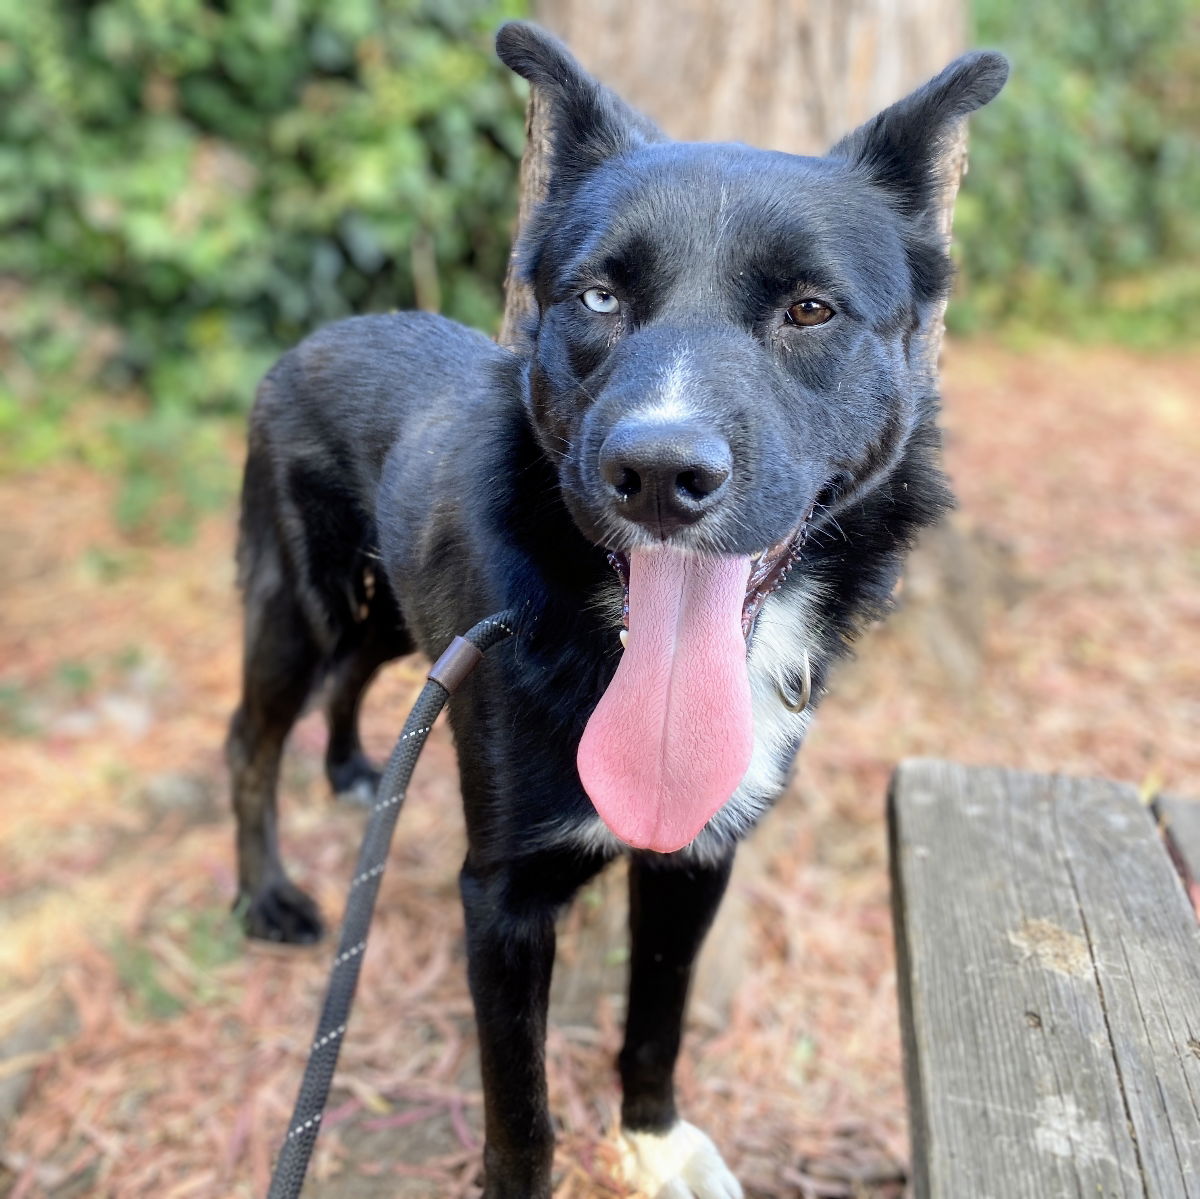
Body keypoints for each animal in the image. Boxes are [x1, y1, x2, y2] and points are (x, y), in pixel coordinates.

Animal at [229, 25, 1008, 1199]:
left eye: (810, 309)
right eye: (598, 298)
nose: (656, 474)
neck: (600, 634)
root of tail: (314, 334)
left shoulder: (697, 857)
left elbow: (657, 1019)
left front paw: (653, 1138)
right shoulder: (501, 899)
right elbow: (522, 1112)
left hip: (396, 612)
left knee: (360, 675)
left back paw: (360, 769)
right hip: (305, 602)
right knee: (250, 737)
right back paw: (264, 895)